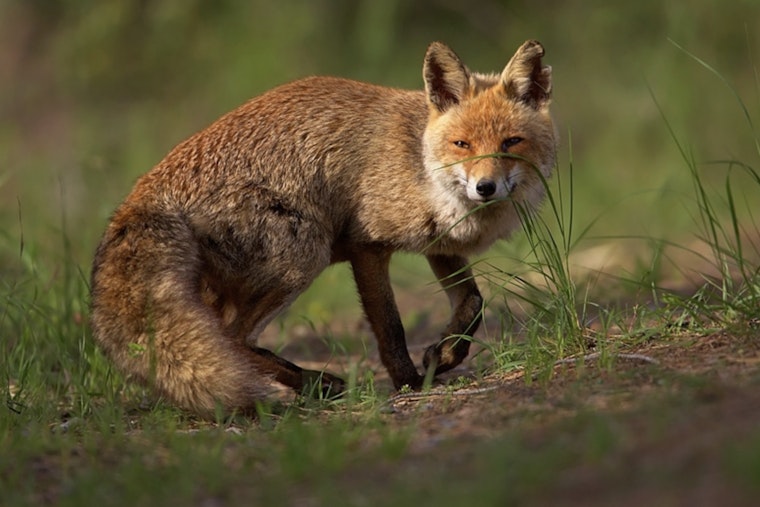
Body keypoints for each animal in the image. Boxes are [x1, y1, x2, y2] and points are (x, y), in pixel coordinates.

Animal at [90, 40, 557, 417]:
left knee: (224, 337)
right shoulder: (367, 245)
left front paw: (443, 355)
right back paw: (312, 384)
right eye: (462, 145)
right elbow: (391, 328)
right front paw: (409, 382)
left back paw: (307, 383)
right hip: (304, 254)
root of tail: (141, 193)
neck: (420, 164)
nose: (485, 187)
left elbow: (472, 304)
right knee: (233, 338)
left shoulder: (438, 243)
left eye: (511, 143)